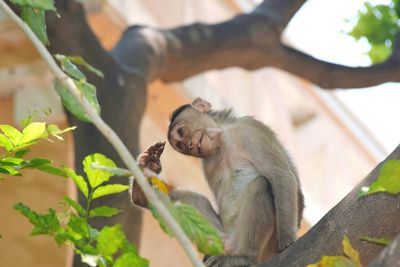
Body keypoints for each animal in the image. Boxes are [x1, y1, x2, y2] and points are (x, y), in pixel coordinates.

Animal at [131, 98, 304, 267]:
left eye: (181, 132)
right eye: (182, 146)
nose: (190, 146)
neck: (222, 141)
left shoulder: (251, 131)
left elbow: (280, 175)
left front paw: (287, 243)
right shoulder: (207, 162)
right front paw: (149, 167)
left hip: (262, 248)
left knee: (260, 185)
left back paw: (245, 257)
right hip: (220, 240)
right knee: (196, 202)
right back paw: (140, 194)